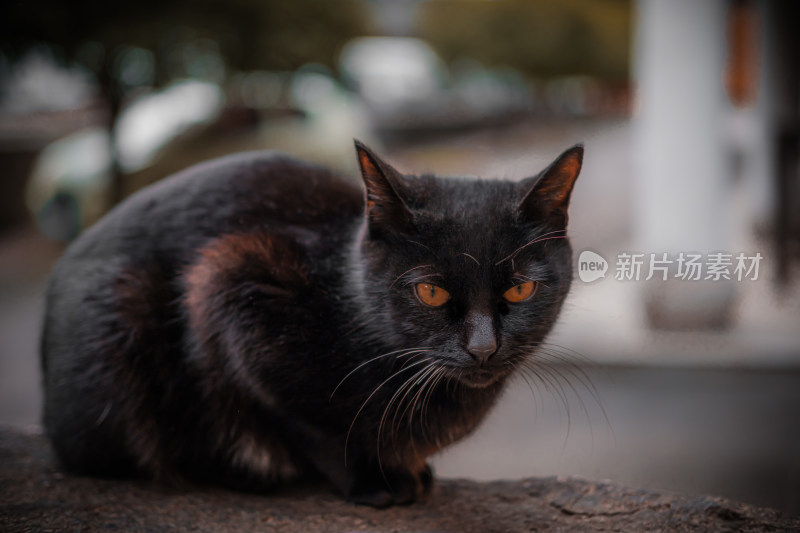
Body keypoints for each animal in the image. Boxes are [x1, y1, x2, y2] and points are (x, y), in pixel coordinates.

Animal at [40, 141, 580, 508]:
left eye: (520, 290)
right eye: (431, 292)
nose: (484, 347)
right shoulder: (234, 285)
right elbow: (308, 426)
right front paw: (376, 479)